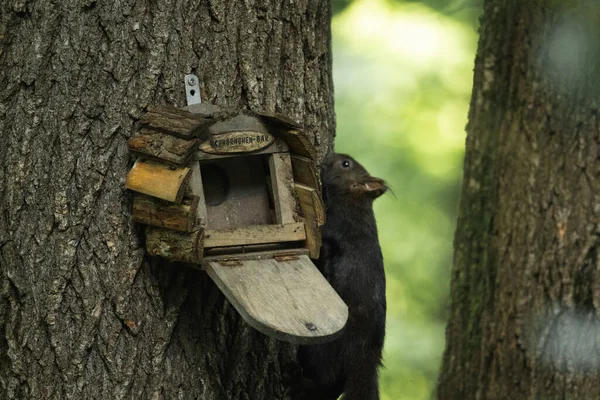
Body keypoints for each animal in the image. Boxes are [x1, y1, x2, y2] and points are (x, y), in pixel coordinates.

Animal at [296, 152, 390, 400]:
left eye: (345, 164)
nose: (328, 155)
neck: (353, 203)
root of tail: (366, 356)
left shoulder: (334, 227)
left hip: (327, 346)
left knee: (325, 376)